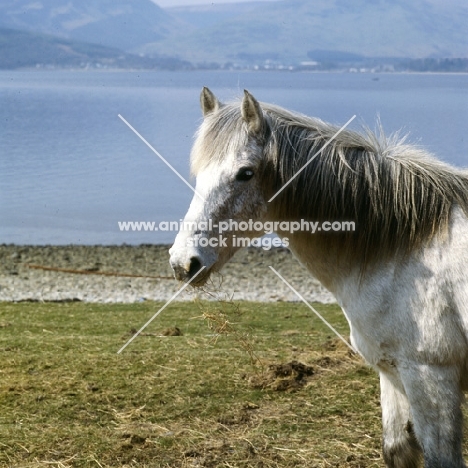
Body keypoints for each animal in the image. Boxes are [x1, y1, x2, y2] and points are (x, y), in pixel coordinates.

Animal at [169, 87, 468, 464]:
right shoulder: (393, 372)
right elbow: (396, 450)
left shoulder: (431, 377)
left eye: (246, 173)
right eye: (198, 174)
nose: (184, 263)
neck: (406, 247)